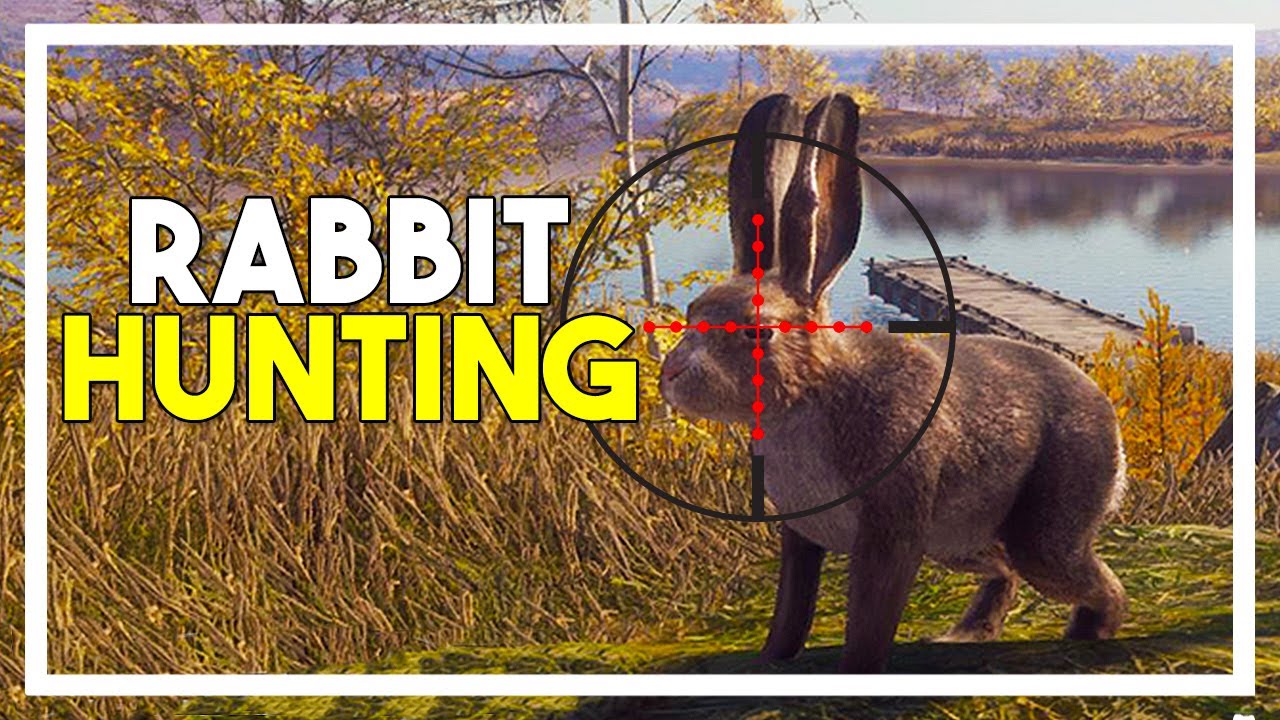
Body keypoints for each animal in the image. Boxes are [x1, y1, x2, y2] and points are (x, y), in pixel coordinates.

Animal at [658, 93, 1128, 673]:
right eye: (692, 311)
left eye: (756, 330)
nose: (672, 373)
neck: (816, 391)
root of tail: (1107, 413)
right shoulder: (801, 537)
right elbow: (791, 610)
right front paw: (768, 663)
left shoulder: (890, 534)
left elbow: (870, 617)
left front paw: (855, 674)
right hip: (961, 544)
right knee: (1006, 572)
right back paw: (965, 635)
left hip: (1045, 529)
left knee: (1087, 579)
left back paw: (1086, 637)